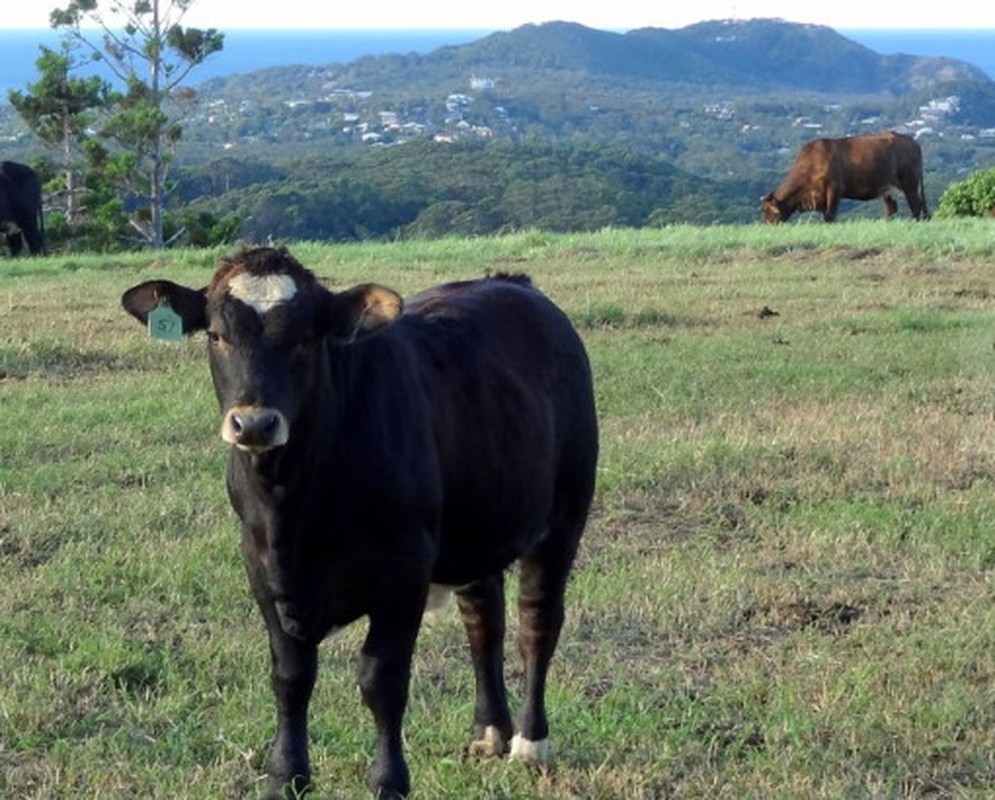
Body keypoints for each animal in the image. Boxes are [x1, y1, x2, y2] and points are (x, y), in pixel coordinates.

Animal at [120, 248, 596, 800]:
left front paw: (388, 781)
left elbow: (381, 680)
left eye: (306, 338)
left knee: (537, 622)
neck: (293, 506)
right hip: (478, 523)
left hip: (563, 517)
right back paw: (488, 733)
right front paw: (285, 776)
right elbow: (291, 676)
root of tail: (514, 284)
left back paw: (530, 743)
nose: (255, 423)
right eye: (217, 335)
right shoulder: (258, 562)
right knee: (484, 620)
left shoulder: (405, 567)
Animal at [768, 131, 928, 223]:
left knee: (916, 205)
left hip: (910, 183)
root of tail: (912, 141)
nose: (766, 225)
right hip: (888, 189)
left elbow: (830, 214)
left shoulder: (834, 188)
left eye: (767, 212)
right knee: (891, 209)